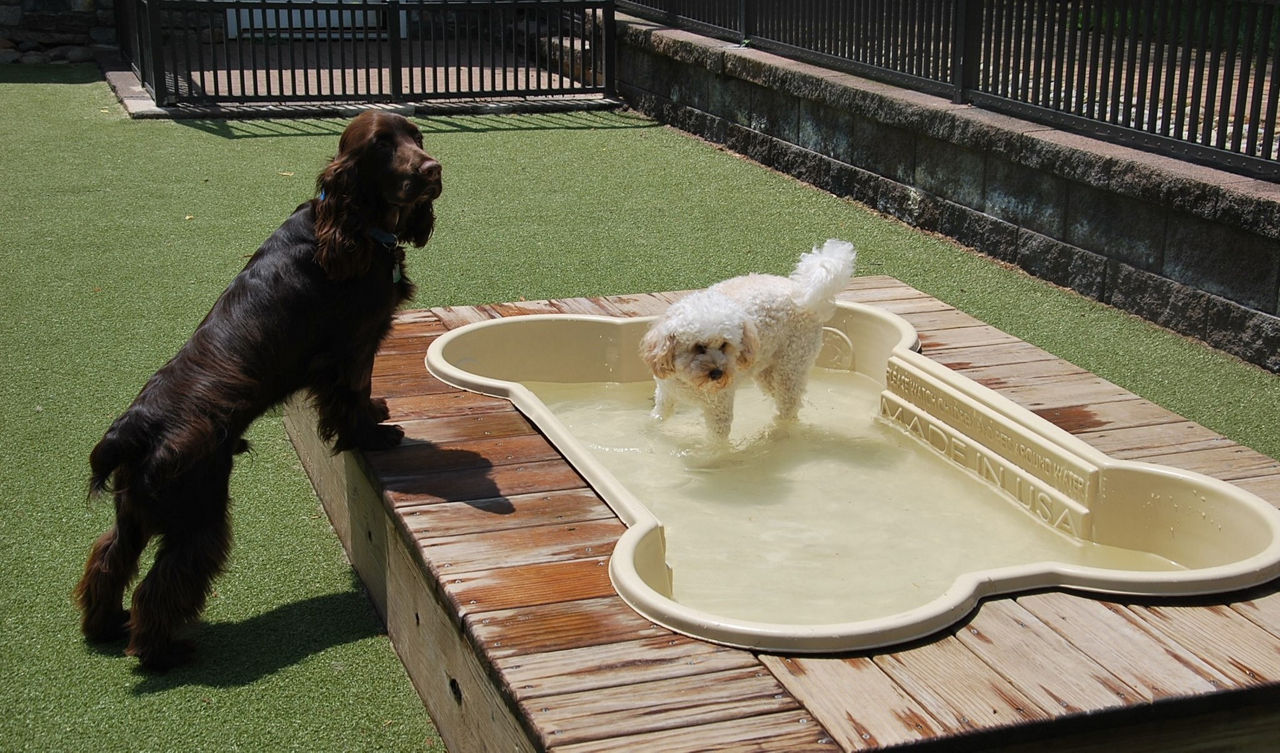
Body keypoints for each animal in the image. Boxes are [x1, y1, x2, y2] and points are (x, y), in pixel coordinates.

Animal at [640, 239, 860, 440]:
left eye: (725, 345)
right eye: (698, 347)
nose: (718, 373)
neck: (688, 381)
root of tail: (804, 293)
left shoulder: (719, 409)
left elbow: (716, 444)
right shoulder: (665, 395)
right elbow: (658, 418)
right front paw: (650, 432)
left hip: (792, 366)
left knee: (789, 406)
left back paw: (778, 432)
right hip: (766, 371)